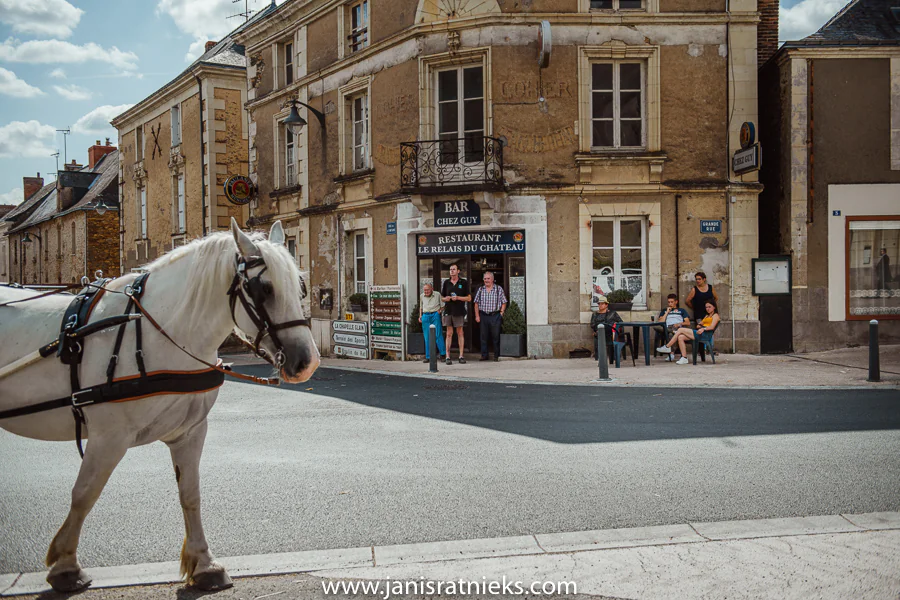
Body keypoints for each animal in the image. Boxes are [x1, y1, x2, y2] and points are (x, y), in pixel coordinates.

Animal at [0, 218, 319, 593]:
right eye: (264, 289)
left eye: (300, 286)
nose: (307, 362)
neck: (161, 333)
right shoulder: (108, 438)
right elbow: (84, 494)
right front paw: (66, 565)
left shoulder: (190, 433)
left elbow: (190, 495)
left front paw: (204, 563)